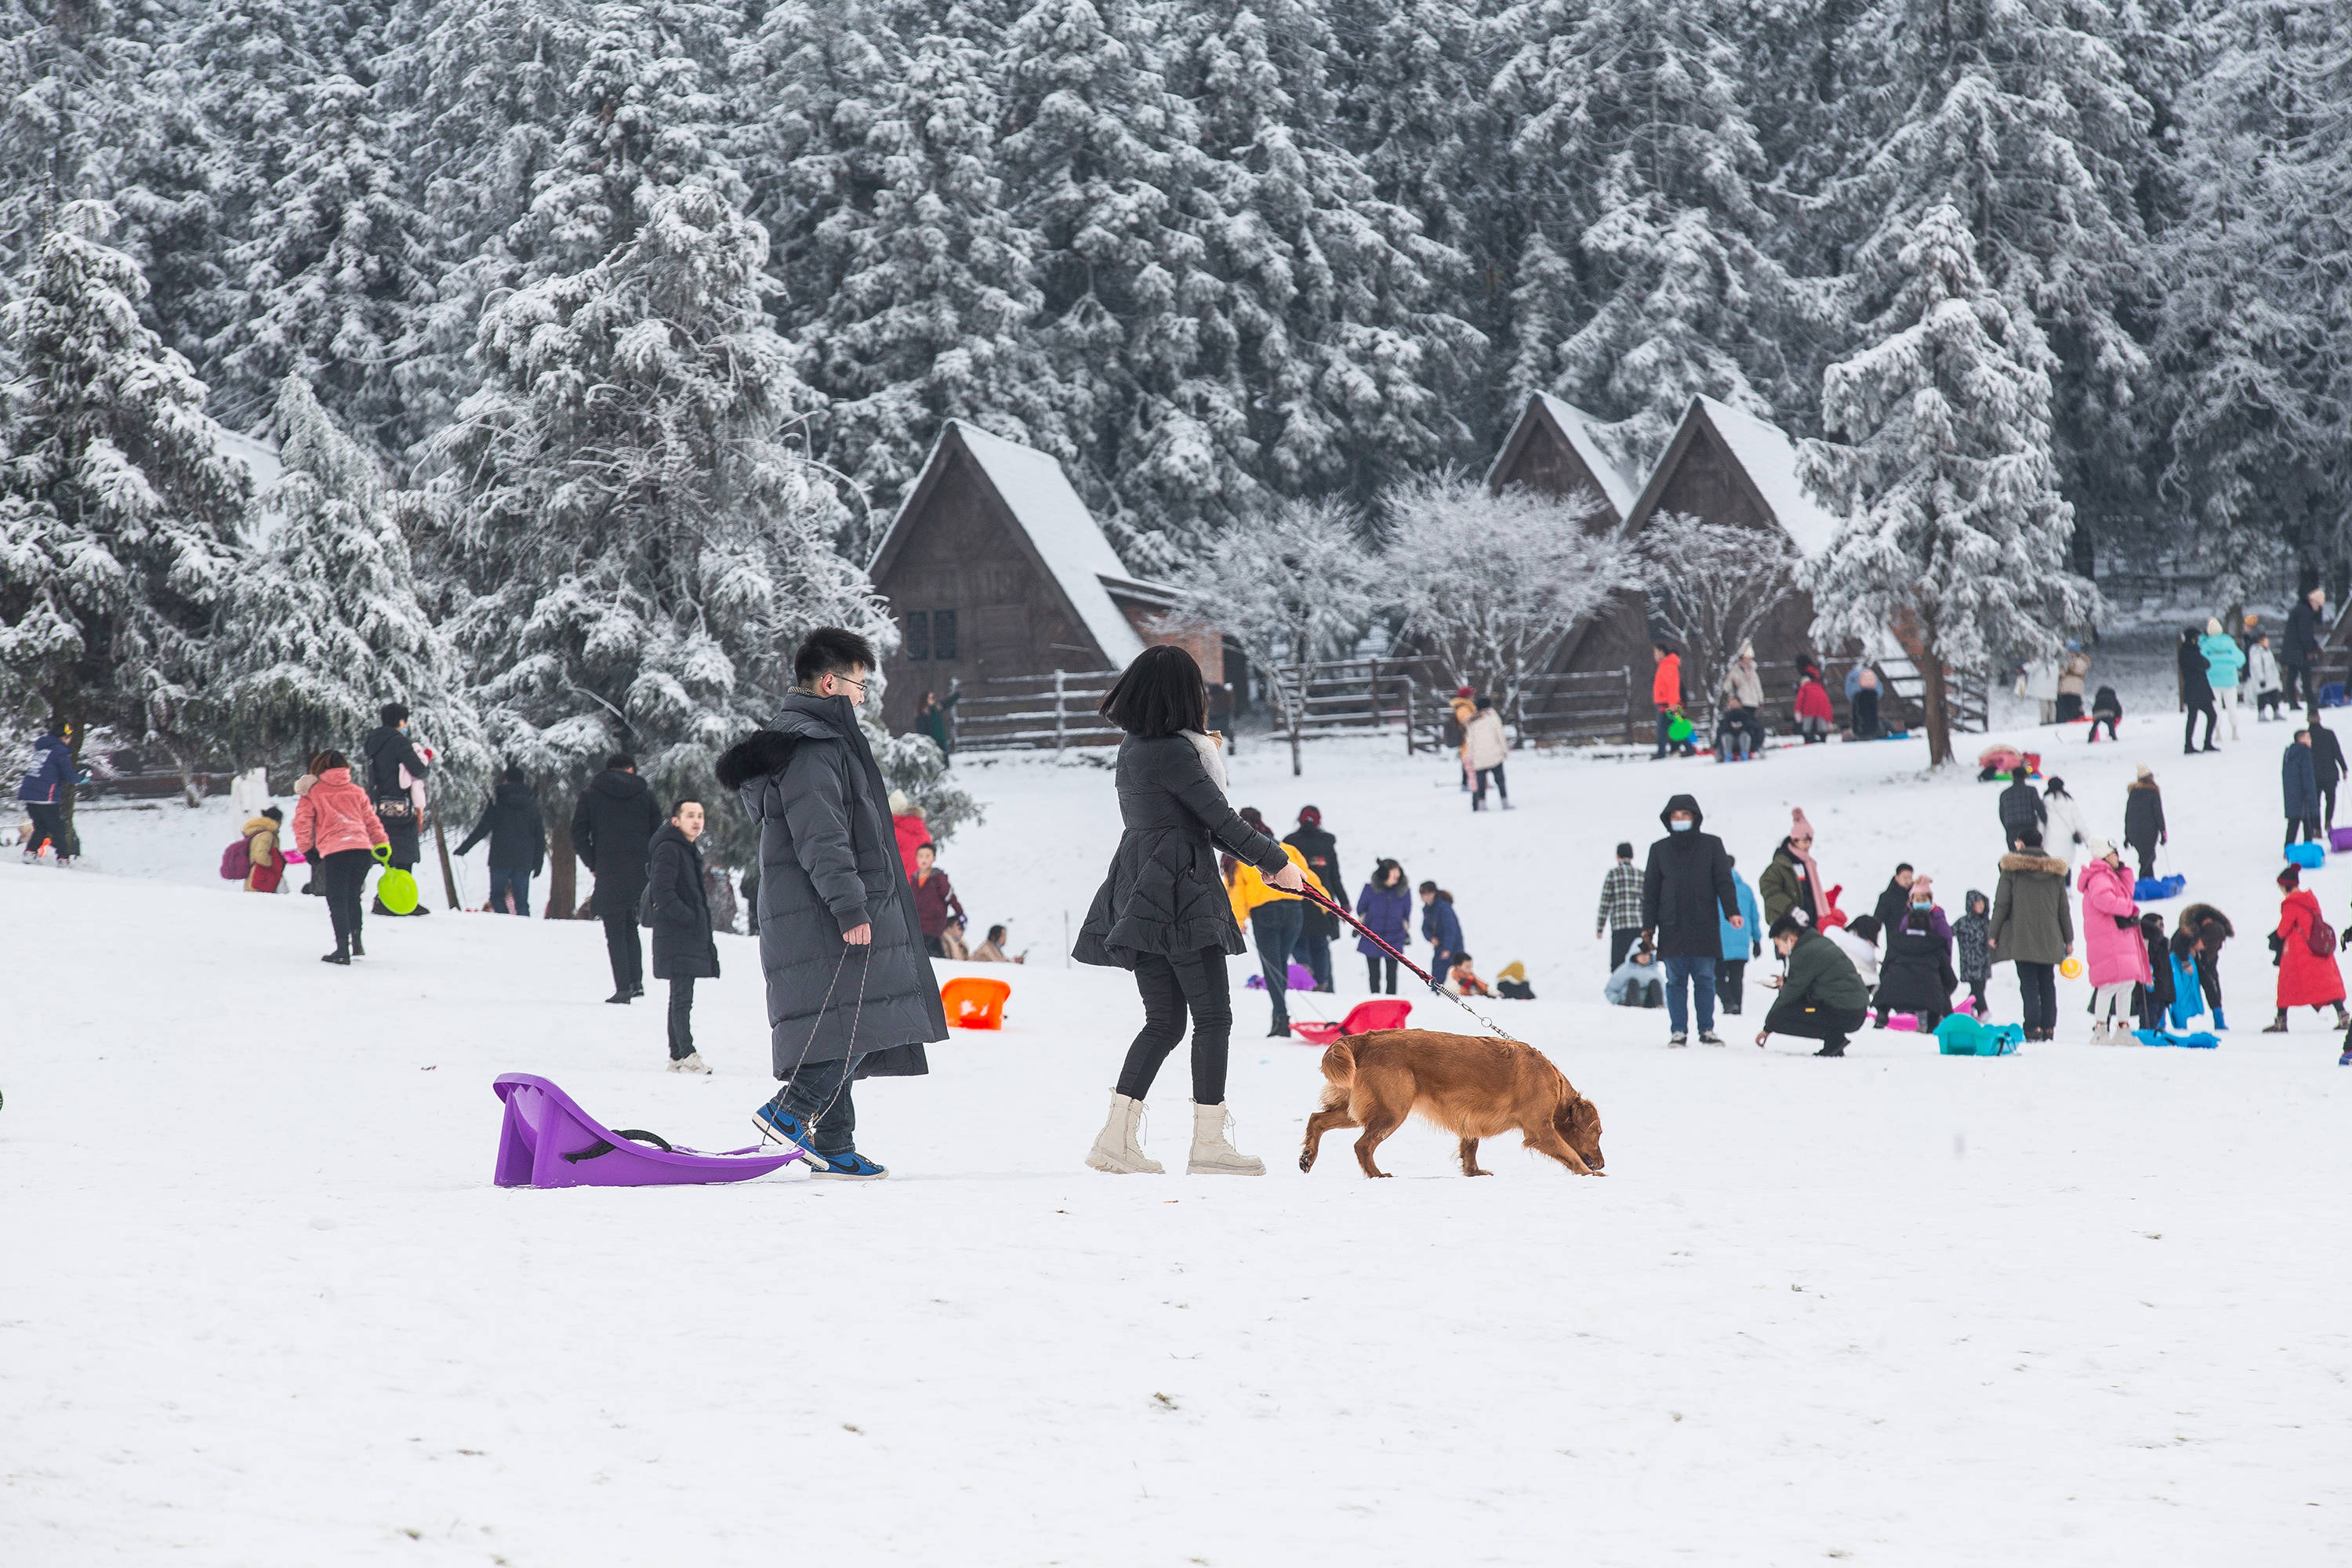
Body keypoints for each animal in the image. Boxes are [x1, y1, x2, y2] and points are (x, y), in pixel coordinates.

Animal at [1298, 1029, 1609, 1175]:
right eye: (1598, 1133)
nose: (1602, 1163)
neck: (1553, 1082)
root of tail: (1365, 1039)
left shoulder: (1471, 1117)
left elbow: (1470, 1148)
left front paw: (1474, 1172)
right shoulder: (1540, 1130)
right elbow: (1569, 1153)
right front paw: (1589, 1175)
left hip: (1360, 1110)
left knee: (1317, 1118)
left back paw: (1307, 1157)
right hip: (1391, 1111)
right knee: (1362, 1145)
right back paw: (1377, 1175)